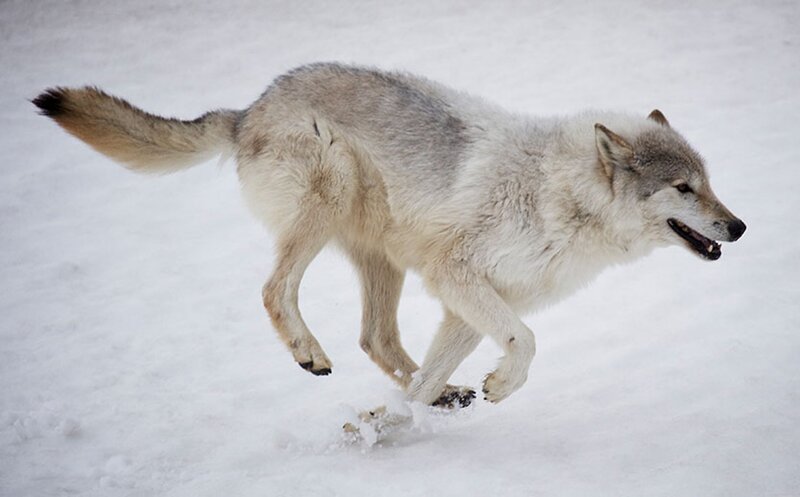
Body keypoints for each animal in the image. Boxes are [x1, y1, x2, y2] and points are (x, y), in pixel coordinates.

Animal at [34, 62, 745, 407]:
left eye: (708, 182)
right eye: (683, 188)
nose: (739, 227)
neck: (560, 198)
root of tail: (249, 108)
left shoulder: (468, 300)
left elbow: (446, 369)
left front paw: (399, 427)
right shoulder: (459, 276)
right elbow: (528, 341)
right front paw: (499, 387)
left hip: (386, 261)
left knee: (377, 339)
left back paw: (440, 397)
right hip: (331, 201)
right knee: (275, 291)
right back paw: (309, 353)